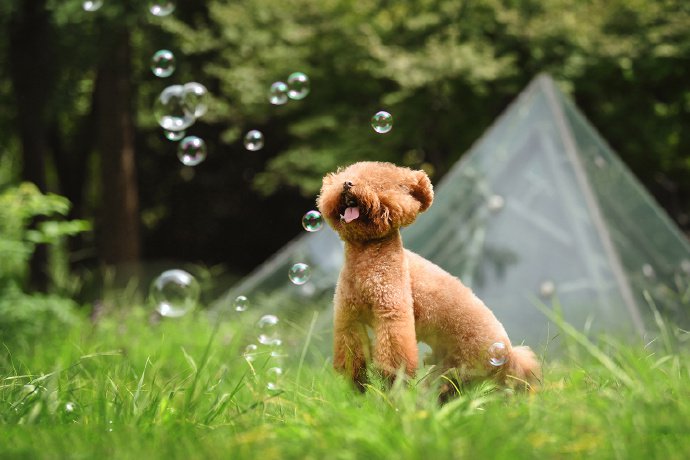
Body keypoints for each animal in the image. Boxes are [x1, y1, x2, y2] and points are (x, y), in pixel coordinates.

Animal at [316, 162, 536, 392]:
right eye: (345, 175)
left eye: (379, 184)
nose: (347, 184)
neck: (365, 257)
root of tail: (508, 352)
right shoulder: (348, 318)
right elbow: (351, 356)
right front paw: (357, 385)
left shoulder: (392, 314)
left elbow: (394, 358)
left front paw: (391, 386)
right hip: (449, 369)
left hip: (465, 366)